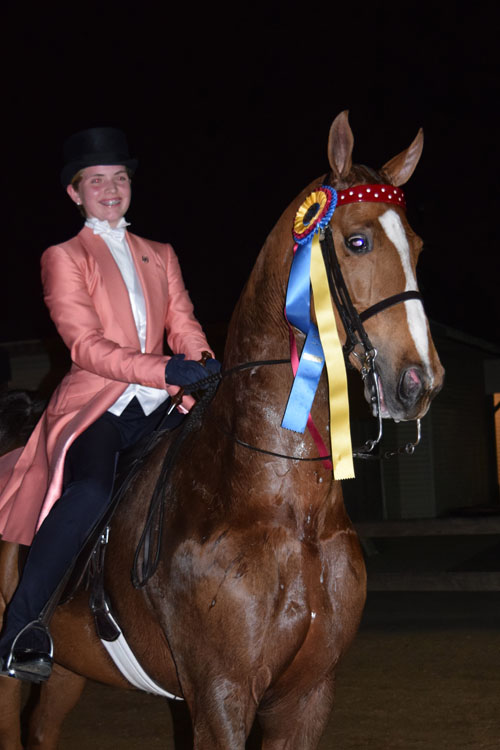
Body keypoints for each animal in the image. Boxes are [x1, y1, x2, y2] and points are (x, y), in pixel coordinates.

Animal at [0, 113, 446, 750]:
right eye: (357, 241)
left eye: (418, 246)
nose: (419, 381)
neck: (284, 507)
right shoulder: (220, 697)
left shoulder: (307, 696)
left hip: (68, 668)